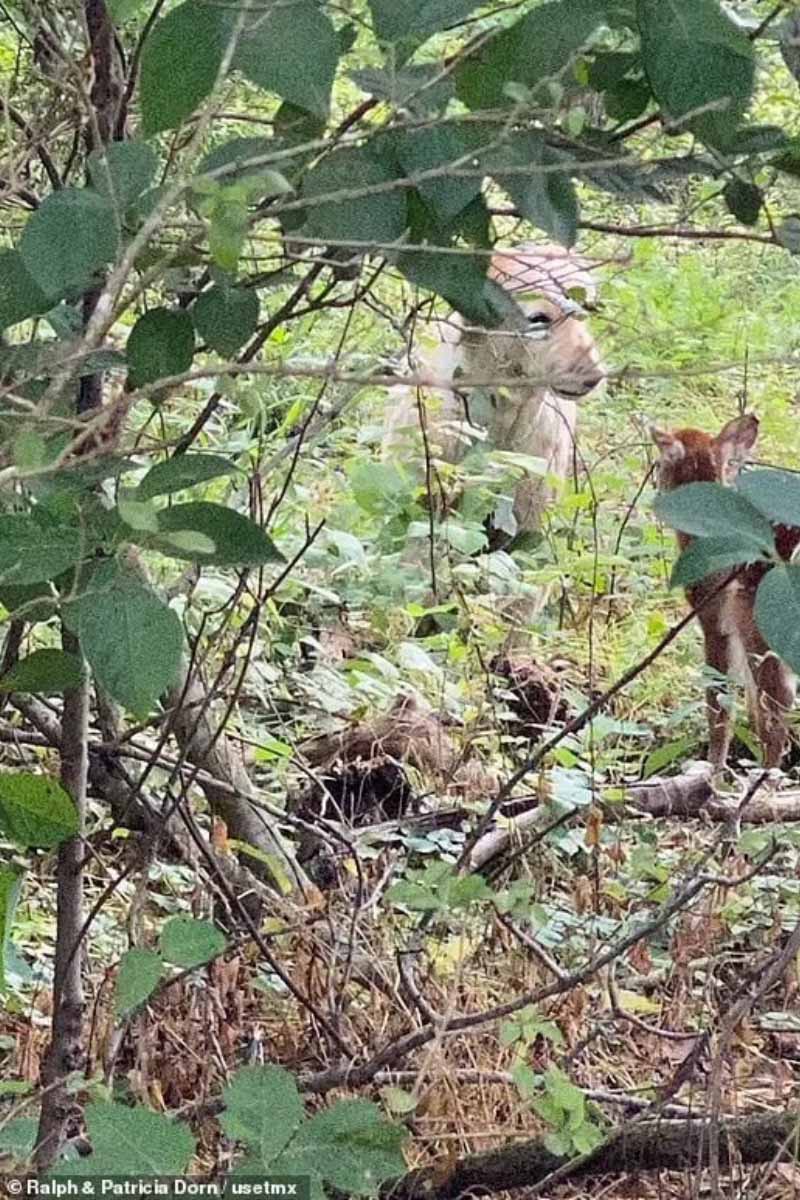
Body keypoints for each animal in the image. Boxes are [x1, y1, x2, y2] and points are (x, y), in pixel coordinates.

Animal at [652, 415, 796, 768]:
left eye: (661, 462)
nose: (656, 485)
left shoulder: (715, 618)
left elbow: (719, 706)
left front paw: (713, 769)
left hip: (764, 622)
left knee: (778, 707)